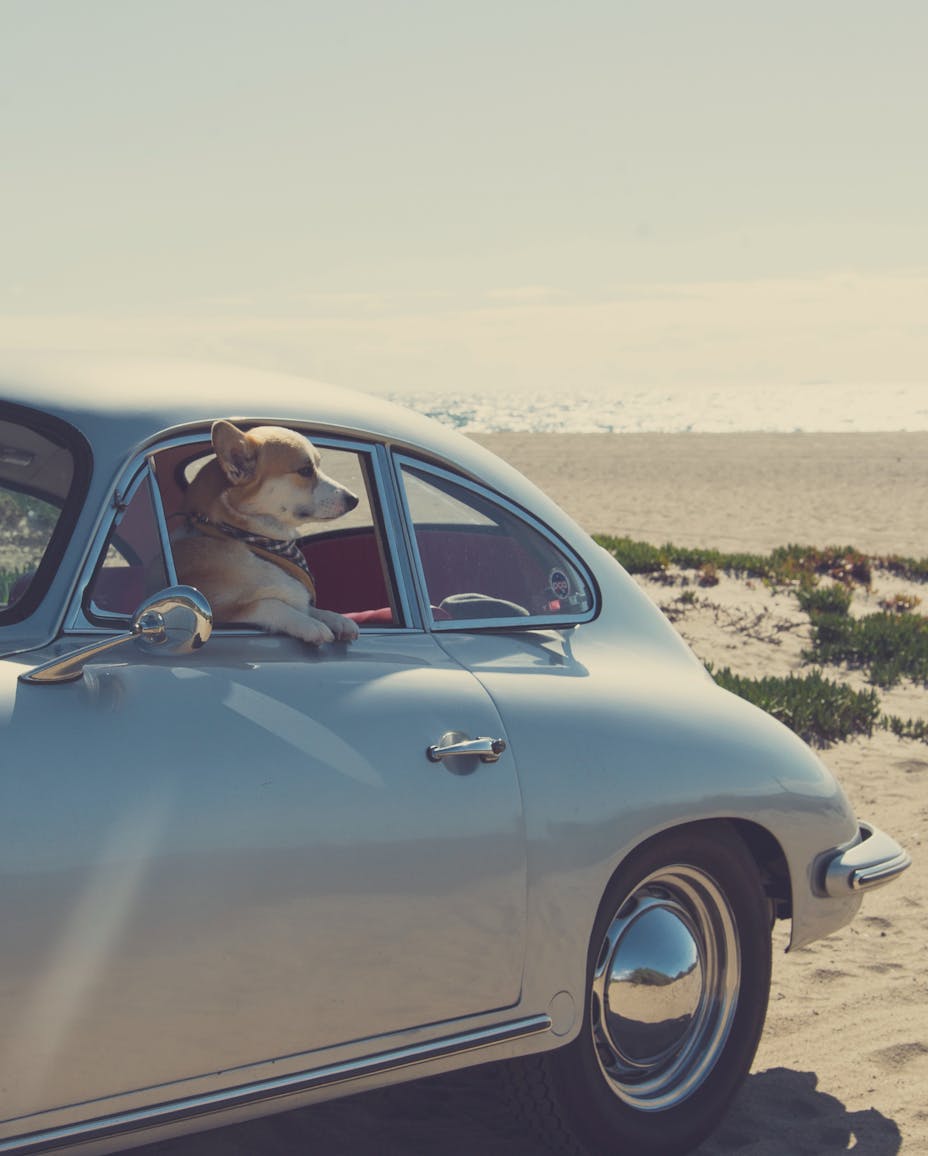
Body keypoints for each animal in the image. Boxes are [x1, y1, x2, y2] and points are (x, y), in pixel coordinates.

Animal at [172, 420, 360, 647]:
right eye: (306, 470)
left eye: (318, 465)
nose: (355, 500)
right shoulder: (217, 611)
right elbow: (270, 603)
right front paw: (311, 625)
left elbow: (311, 608)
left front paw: (337, 619)